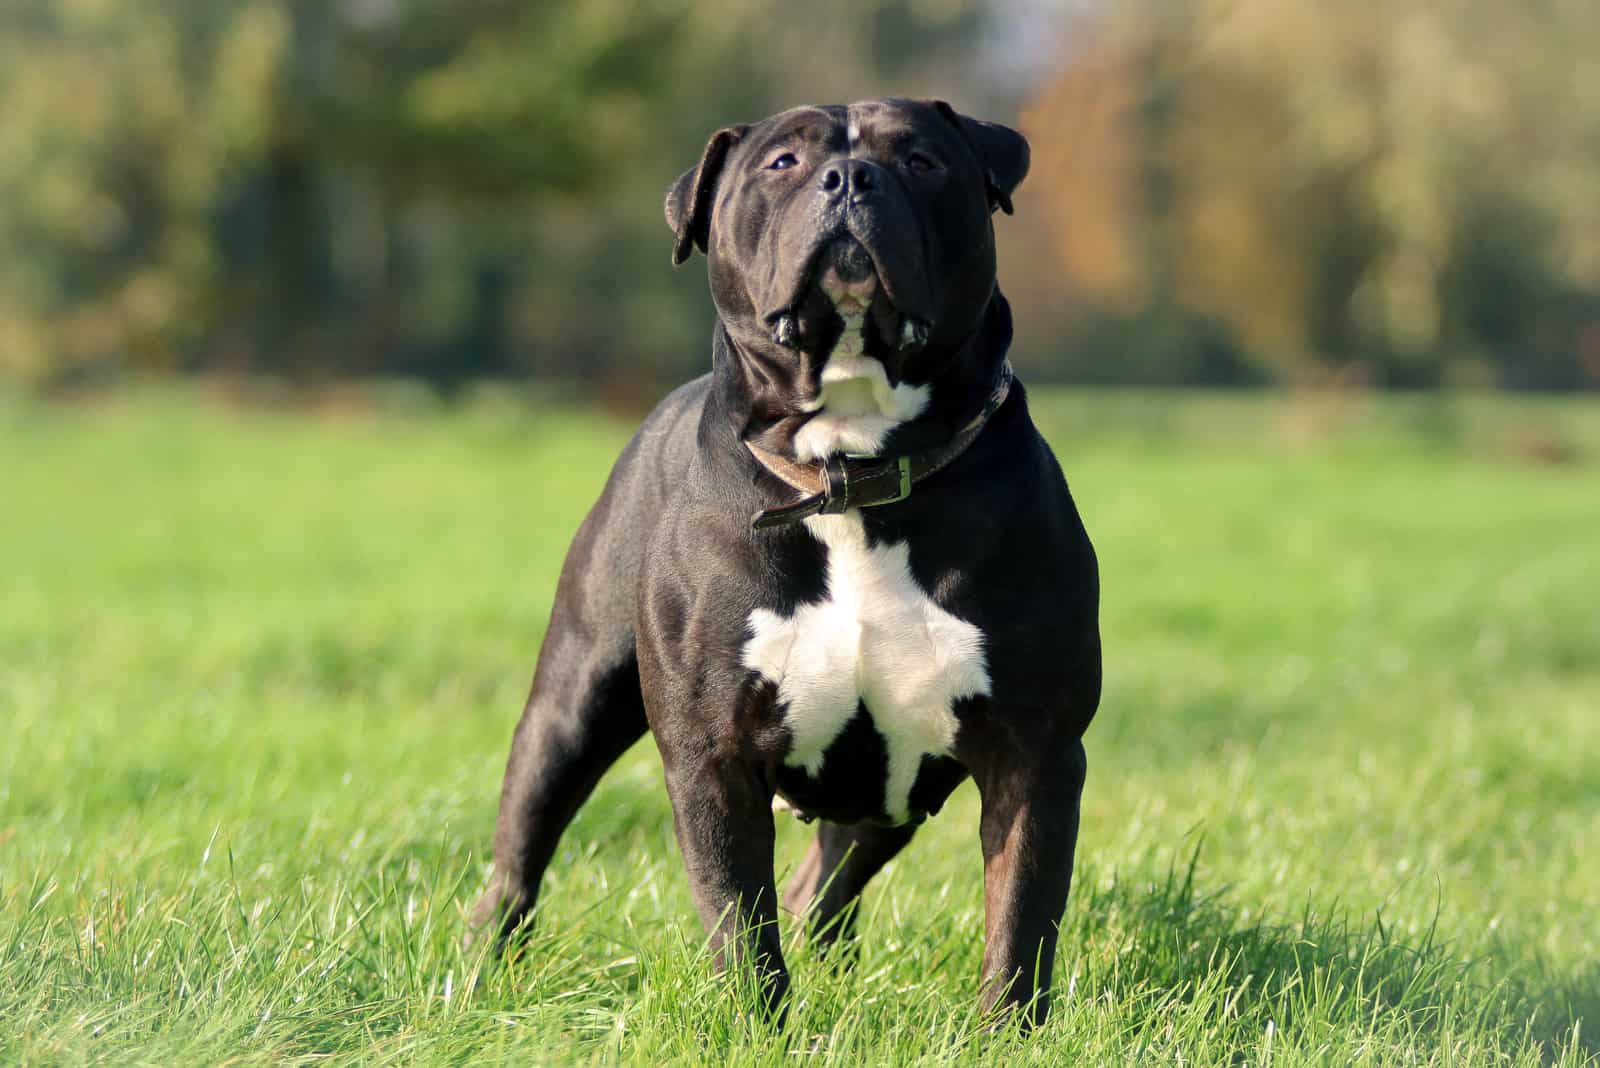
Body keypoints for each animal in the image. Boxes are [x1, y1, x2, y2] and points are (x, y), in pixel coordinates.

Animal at [467, 99, 1100, 1023]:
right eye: (784, 163)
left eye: (921, 161)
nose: (850, 177)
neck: (850, 465)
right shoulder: (714, 754)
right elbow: (739, 917)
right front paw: (756, 1026)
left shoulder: (1035, 752)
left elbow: (1019, 920)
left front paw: (1003, 1032)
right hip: (572, 702)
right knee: (523, 846)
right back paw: (482, 964)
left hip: (885, 796)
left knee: (822, 890)